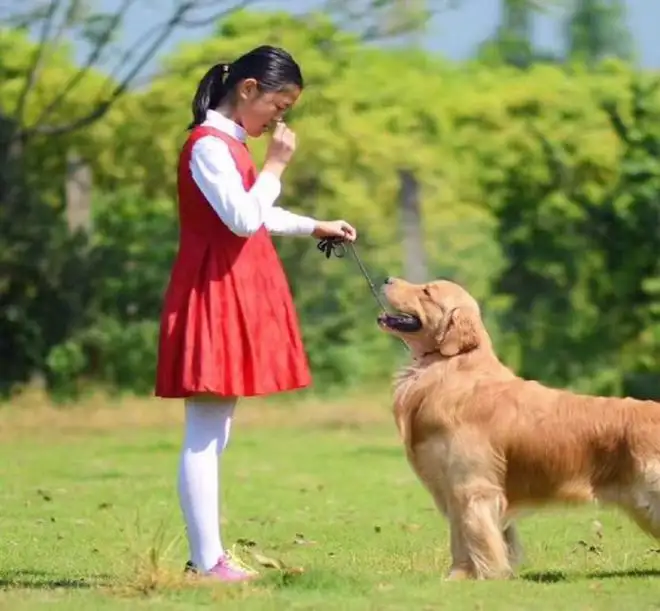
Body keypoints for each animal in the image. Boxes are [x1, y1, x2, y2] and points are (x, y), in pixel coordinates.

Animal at [378, 274, 660, 580]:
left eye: (427, 291)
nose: (387, 278)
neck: (452, 367)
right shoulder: (459, 489)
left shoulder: (471, 486)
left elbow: (472, 535)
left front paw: (474, 576)